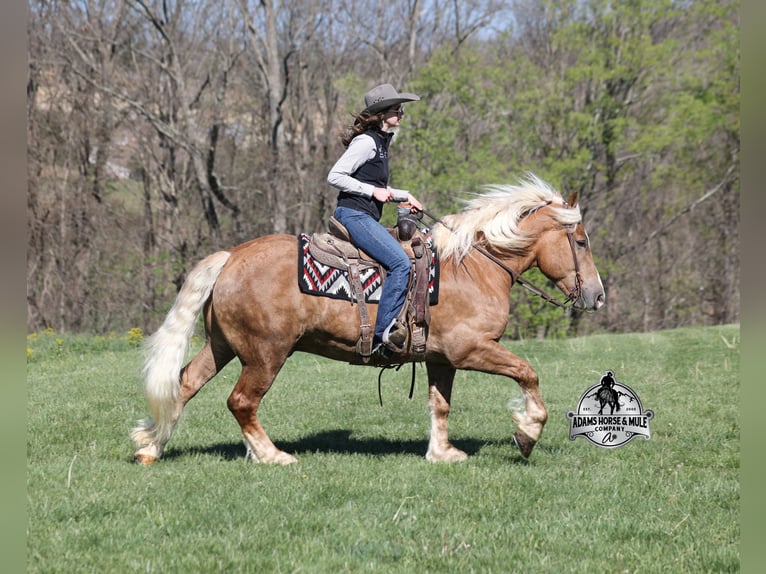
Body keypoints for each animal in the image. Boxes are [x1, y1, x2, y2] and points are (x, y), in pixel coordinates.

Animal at [130, 174, 605, 465]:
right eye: (581, 241)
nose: (597, 296)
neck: (472, 267)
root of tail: (231, 257)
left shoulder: (440, 359)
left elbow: (440, 404)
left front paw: (442, 453)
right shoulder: (470, 349)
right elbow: (527, 373)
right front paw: (527, 434)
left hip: (224, 346)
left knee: (185, 384)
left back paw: (152, 447)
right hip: (266, 354)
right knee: (242, 402)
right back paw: (271, 455)